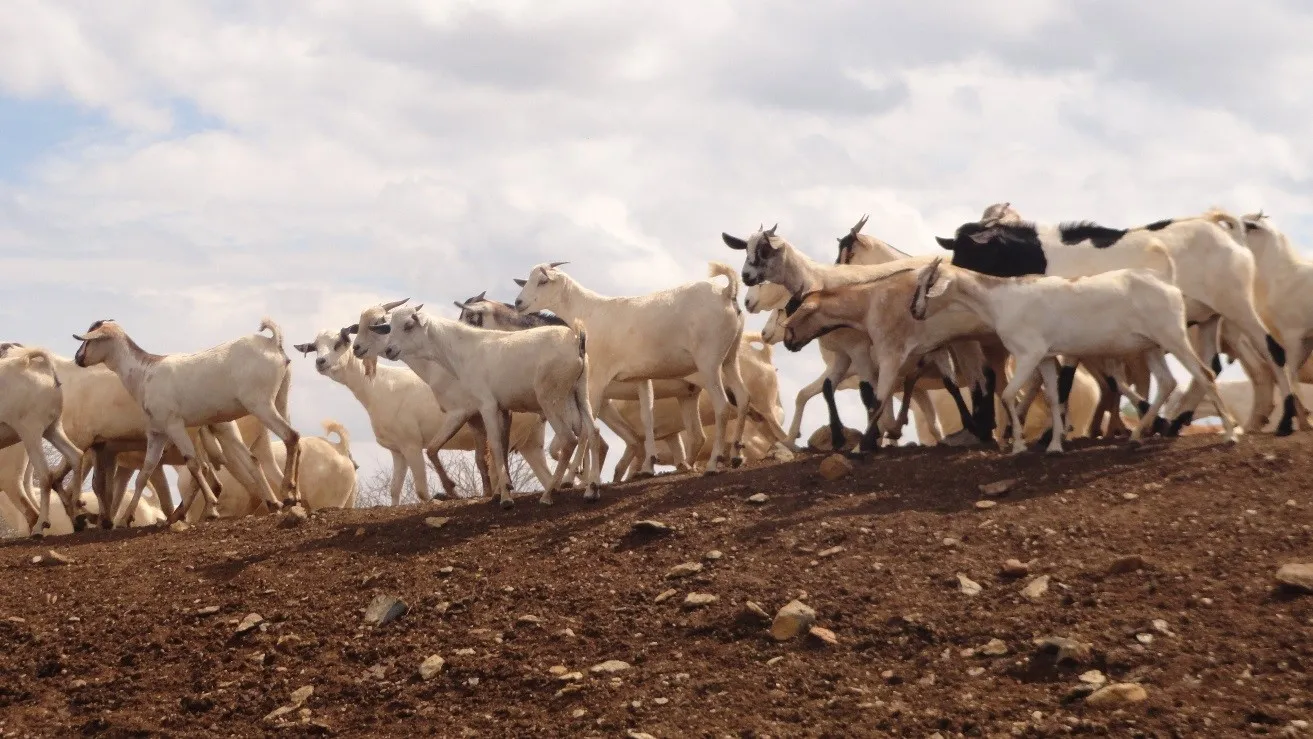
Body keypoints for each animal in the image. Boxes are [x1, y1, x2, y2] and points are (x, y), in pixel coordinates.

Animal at [72, 319, 300, 526]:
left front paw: (211, 505)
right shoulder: (157, 432)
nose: (77, 358)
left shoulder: (174, 425)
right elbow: (144, 473)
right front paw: (127, 518)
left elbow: (193, 463)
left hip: (261, 405)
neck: (145, 371)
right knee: (260, 456)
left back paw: (288, 493)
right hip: (278, 403)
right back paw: (280, 501)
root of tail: (272, 342)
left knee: (290, 436)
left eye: (89, 339)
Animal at [356, 301, 598, 507]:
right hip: (579, 394)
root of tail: (576, 338)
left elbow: (494, 448)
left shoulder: (482, 406)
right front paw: (501, 491)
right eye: (390, 327)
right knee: (592, 432)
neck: (466, 348)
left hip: (551, 400)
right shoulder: (499, 409)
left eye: (408, 325)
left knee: (569, 439)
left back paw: (550, 493)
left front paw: (504, 498)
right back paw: (590, 490)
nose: (389, 350)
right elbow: (496, 449)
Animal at [512, 262, 750, 475]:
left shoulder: (597, 378)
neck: (590, 312)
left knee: (723, 406)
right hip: (729, 359)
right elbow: (647, 416)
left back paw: (713, 463)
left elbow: (588, 424)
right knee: (742, 397)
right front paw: (648, 466)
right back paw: (736, 456)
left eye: (543, 280)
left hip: (709, 364)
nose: (518, 302)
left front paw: (573, 477)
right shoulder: (641, 378)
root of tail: (726, 292)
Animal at [907, 256, 1237, 453]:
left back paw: (1230, 434)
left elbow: (1009, 394)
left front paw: (1018, 446)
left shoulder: (1028, 355)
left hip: (1174, 338)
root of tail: (1168, 284)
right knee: (1168, 383)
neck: (1002, 300)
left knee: (1204, 374)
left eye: (928, 281)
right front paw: (1054, 446)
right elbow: (1054, 398)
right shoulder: (1045, 358)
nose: (914, 311)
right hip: (1152, 346)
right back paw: (1136, 435)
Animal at [937, 208, 1298, 436]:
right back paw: (1176, 423)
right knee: (1210, 366)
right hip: (1209, 317)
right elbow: (1061, 381)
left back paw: (1285, 421)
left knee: (1273, 351)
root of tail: (1225, 230)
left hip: (1236, 306)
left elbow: (1067, 381)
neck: (1044, 255)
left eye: (969, 254)